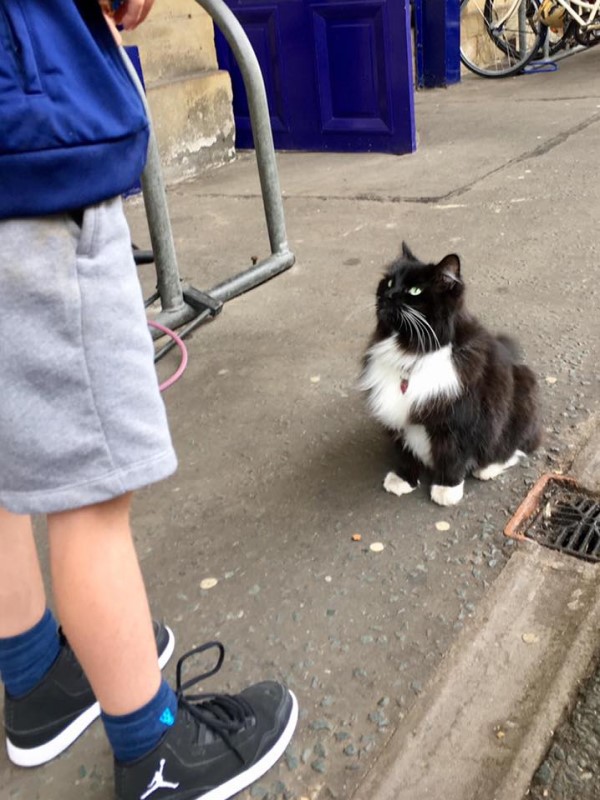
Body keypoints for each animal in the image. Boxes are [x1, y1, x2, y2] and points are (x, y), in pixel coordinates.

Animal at [360, 242, 544, 506]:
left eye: (414, 290)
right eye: (389, 282)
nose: (388, 295)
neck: (414, 352)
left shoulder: (459, 421)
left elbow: (453, 456)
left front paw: (447, 489)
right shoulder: (401, 419)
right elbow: (406, 454)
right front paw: (403, 479)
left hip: (522, 397)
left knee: (519, 446)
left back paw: (487, 468)